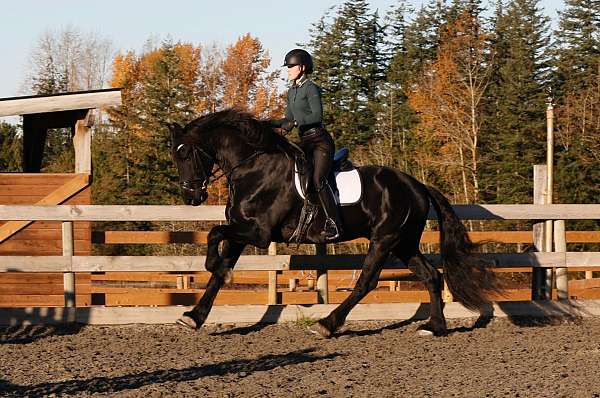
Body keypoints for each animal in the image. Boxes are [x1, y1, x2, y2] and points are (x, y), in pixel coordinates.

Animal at [169, 109, 502, 336]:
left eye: (186, 154)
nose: (191, 197)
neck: (252, 166)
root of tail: (417, 185)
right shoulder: (241, 231)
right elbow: (218, 268)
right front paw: (194, 316)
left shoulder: (258, 233)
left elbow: (214, 235)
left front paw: (212, 266)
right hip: (404, 243)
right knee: (431, 276)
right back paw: (435, 327)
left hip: (384, 240)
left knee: (366, 282)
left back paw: (327, 324)